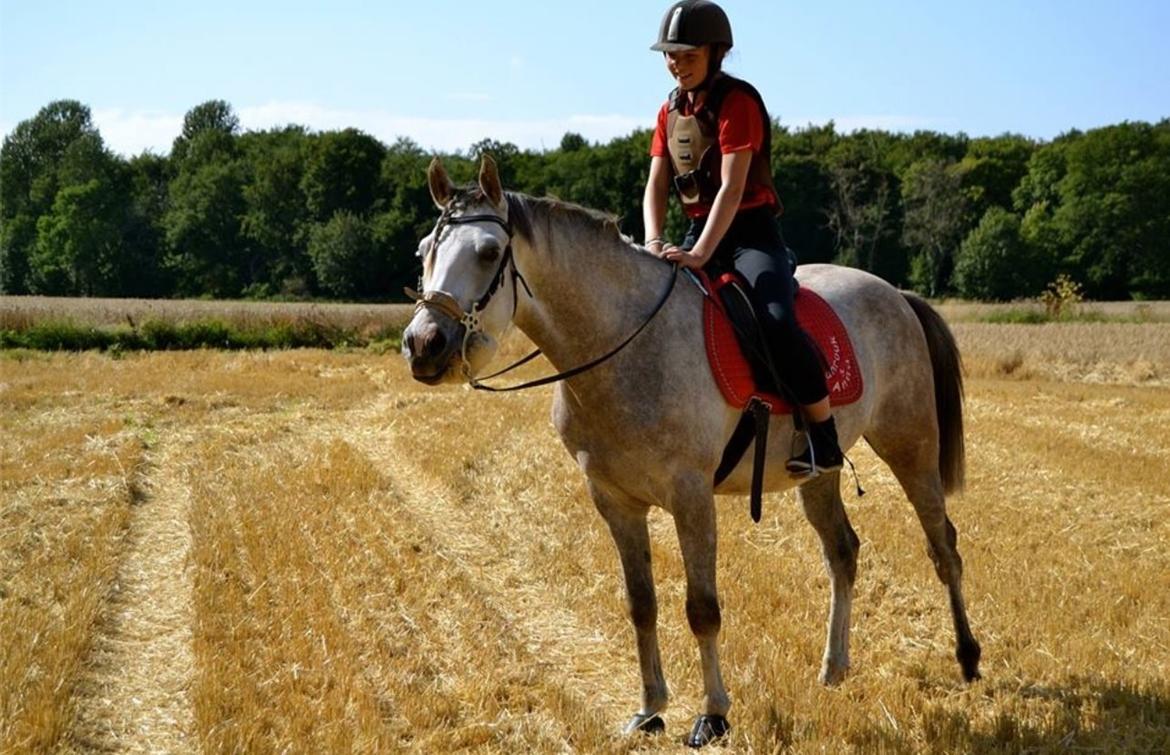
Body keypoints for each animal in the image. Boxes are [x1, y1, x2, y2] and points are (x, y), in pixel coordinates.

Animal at [400, 155, 978, 744]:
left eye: (488, 253)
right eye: (424, 251)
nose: (425, 344)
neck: (624, 343)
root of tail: (897, 295)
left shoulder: (690, 496)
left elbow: (702, 608)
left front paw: (713, 714)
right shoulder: (614, 501)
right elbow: (640, 604)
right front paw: (649, 706)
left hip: (911, 445)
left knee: (943, 546)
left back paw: (968, 657)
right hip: (820, 472)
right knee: (842, 552)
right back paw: (835, 667)